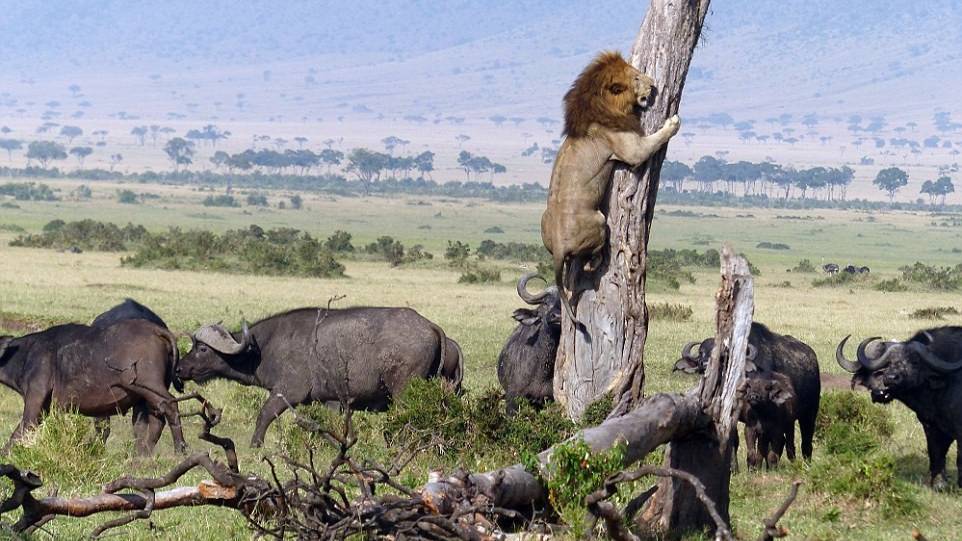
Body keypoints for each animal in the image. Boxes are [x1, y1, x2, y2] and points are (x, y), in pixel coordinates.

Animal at [0, 320, 186, 454]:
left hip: (148, 385)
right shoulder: (45, 409)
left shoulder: (35, 399)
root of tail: (156, 330)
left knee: (170, 406)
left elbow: (21, 430)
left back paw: (180, 450)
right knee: (152, 419)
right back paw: (141, 455)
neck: (24, 355)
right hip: (142, 396)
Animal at [176, 306, 464, 447]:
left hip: (403, 394)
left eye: (202, 349)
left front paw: (255, 444)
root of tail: (431, 327)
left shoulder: (286, 391)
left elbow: (264, 414)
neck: (263, 347)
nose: (179, 368)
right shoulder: (332, 402)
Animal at [541, 51, 680, 328]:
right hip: (599, 221)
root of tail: (559, 247)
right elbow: (655, 140)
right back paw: (597, 260)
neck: (601, 108)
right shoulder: (631, 149)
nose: (653, 84)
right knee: (589, 259)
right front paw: (673, 123)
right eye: (636, 77)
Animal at [675, 322, 820, 466]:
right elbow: (733, 440)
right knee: (788, 442)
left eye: (723, 356)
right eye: (701, 353)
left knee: (805, 442)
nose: (704, 366)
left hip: (809, 413)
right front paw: (734, 468)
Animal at [836, 327, 962, 489]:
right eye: (887, 364)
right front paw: (938, 484)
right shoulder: (932, 427)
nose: (890, 378)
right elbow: (936, 454)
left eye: (915, 361)